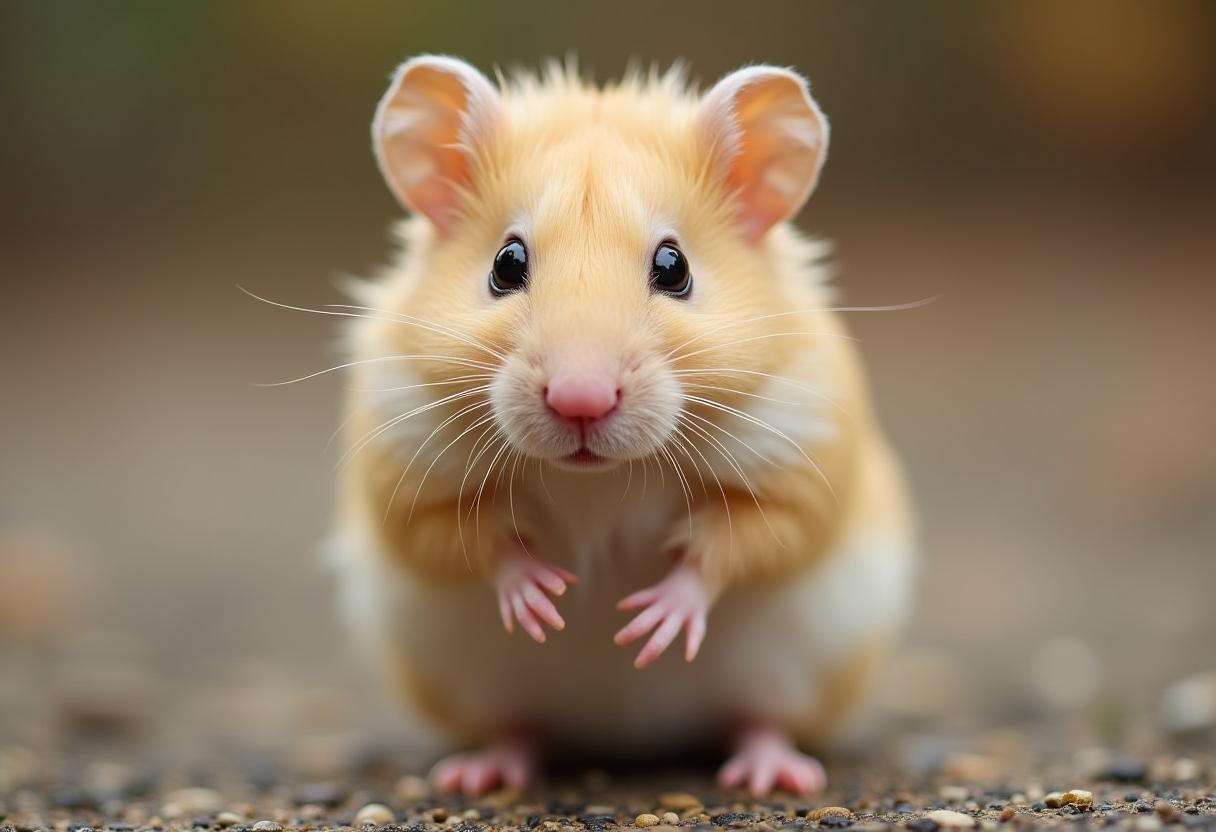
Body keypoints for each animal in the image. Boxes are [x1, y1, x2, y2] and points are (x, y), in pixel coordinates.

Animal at [330, 55, 915, 797]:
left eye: (675, 266)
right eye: (505, 264)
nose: (580, 401)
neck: (598, 478)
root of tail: (625, 739)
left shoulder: (804, 466)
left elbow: (739, 540)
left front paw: (644, 625)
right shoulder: (403, 469)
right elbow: (467, 535)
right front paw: (547, 600)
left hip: (801, 667)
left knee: (758, 718)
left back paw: (771, 775)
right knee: (519, 728)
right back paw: (478, 773)